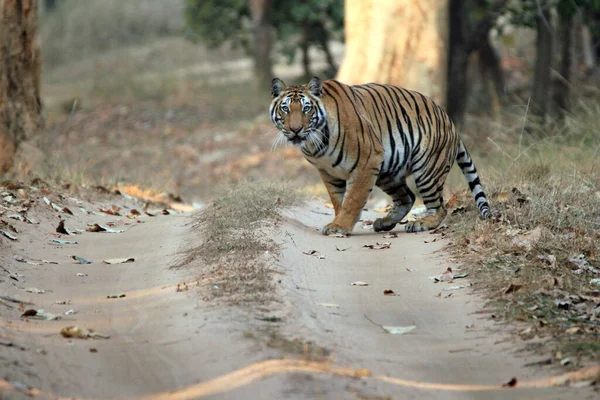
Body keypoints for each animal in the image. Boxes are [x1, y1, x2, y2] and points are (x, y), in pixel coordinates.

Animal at [268, 76, 492, 236]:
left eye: (306, 108)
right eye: (285, 109)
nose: (295, 130)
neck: (316, 143)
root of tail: (450, 121)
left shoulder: (367, 161)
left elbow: (353, 199)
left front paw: (340, 226)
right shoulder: (327, 171)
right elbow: (337, 200)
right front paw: (337, 221)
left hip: (426, 170)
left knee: (439, 208)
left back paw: (420, 224)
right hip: (388, 172)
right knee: (407, 197)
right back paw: (384, 223)